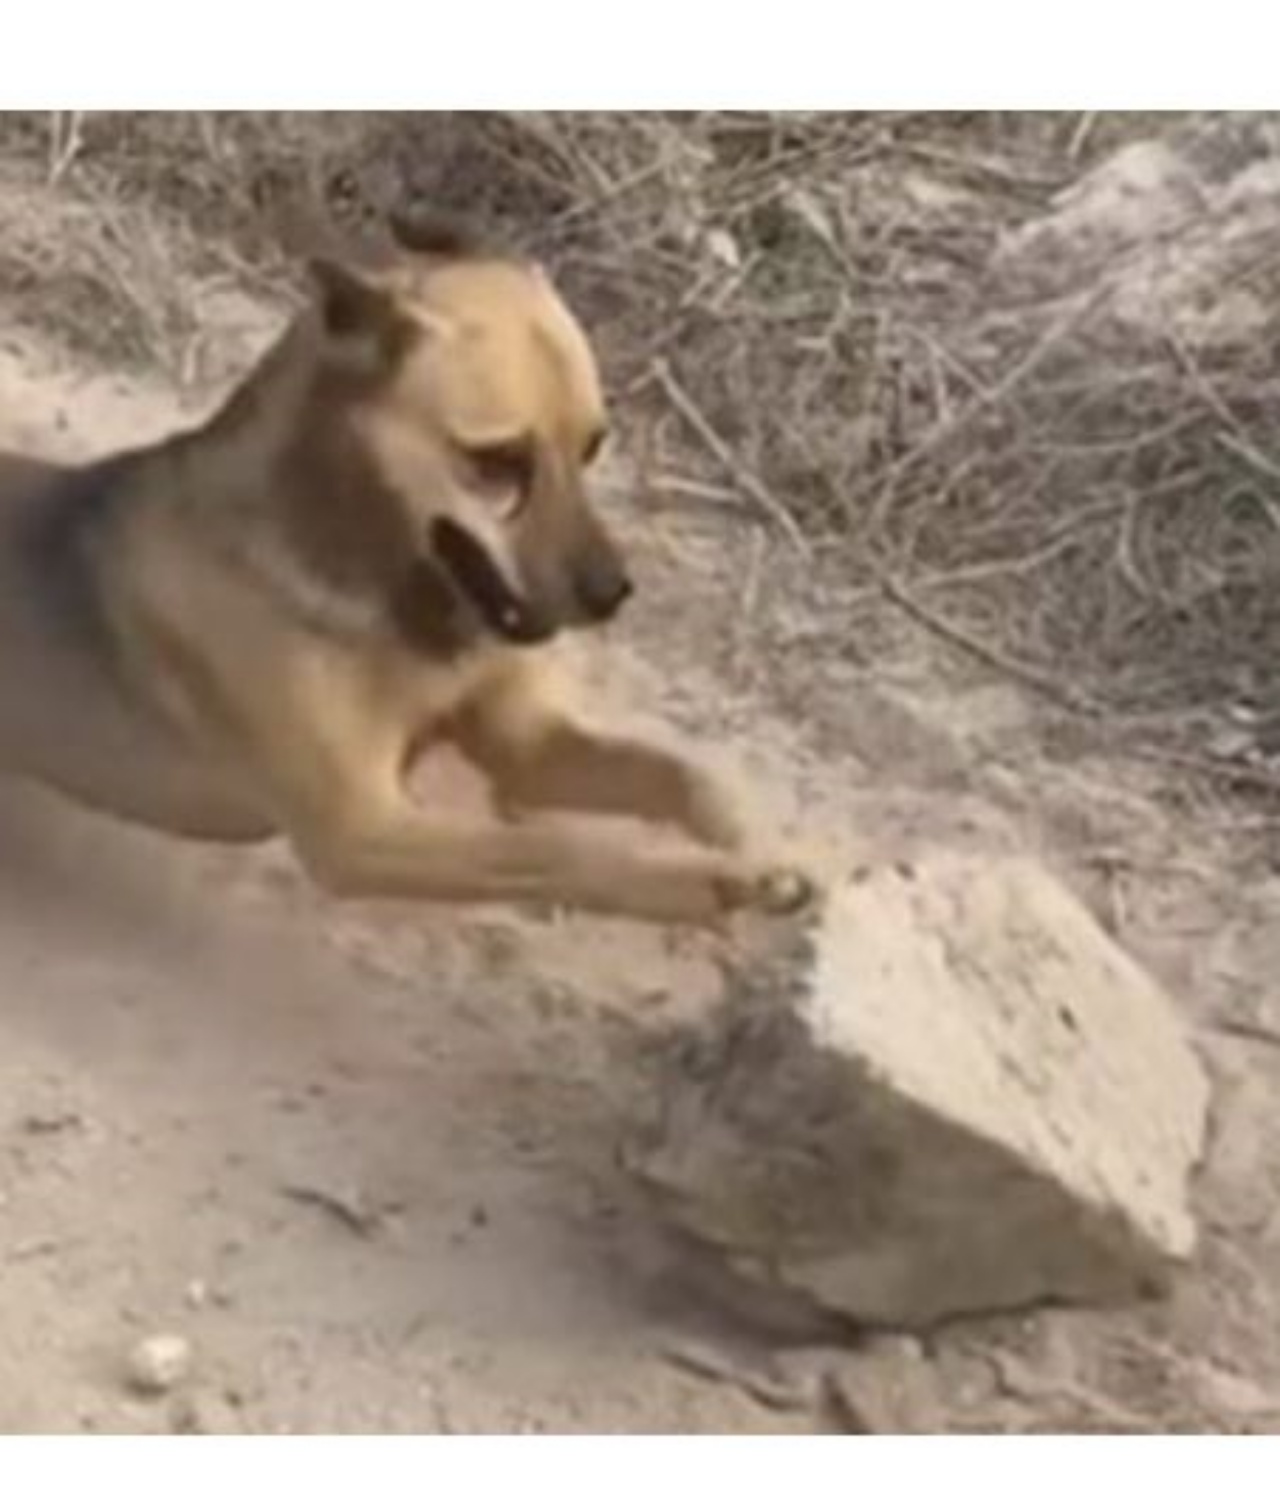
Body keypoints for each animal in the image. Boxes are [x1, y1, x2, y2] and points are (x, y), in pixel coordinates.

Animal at [0, 215, 815, 923]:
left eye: (593, 446)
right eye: (497, 462)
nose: (612, 593)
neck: (393, 601)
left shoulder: (528, 743)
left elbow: (681, 771)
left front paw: (753, 843)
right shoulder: (364, 832)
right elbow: (555, 848)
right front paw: (709, 880)